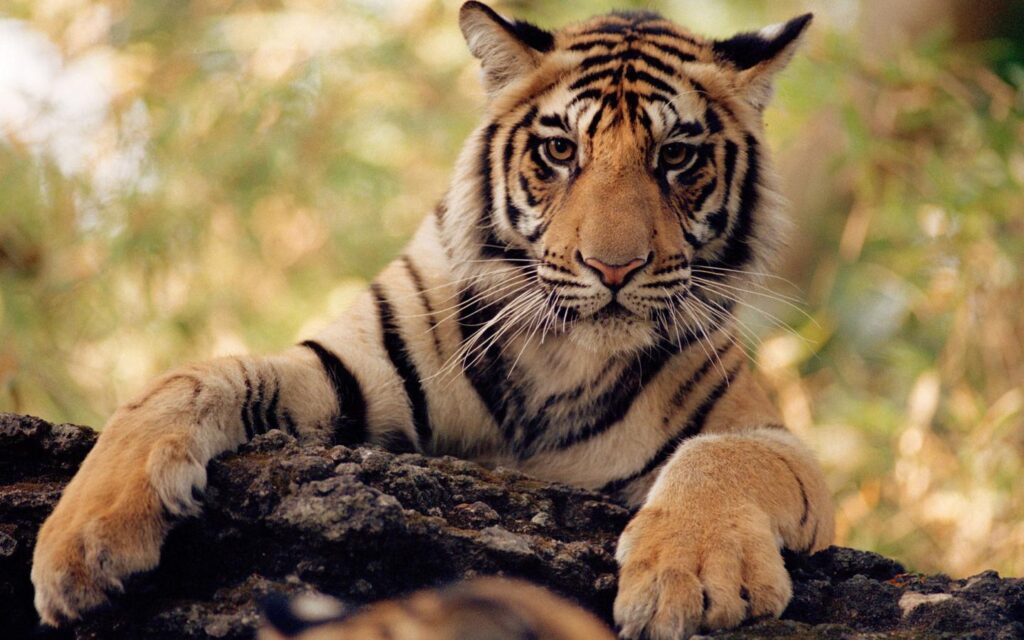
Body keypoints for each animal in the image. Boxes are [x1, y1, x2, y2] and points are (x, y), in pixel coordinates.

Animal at [31, 3, 835, 638]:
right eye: (560, 150)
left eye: (676, 157)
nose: (613, 268)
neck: (562, 354)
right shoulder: (348, 373)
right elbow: (188, 380)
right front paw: (82, 543)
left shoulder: (773, 439)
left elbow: (722, 457)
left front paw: (687, 578)